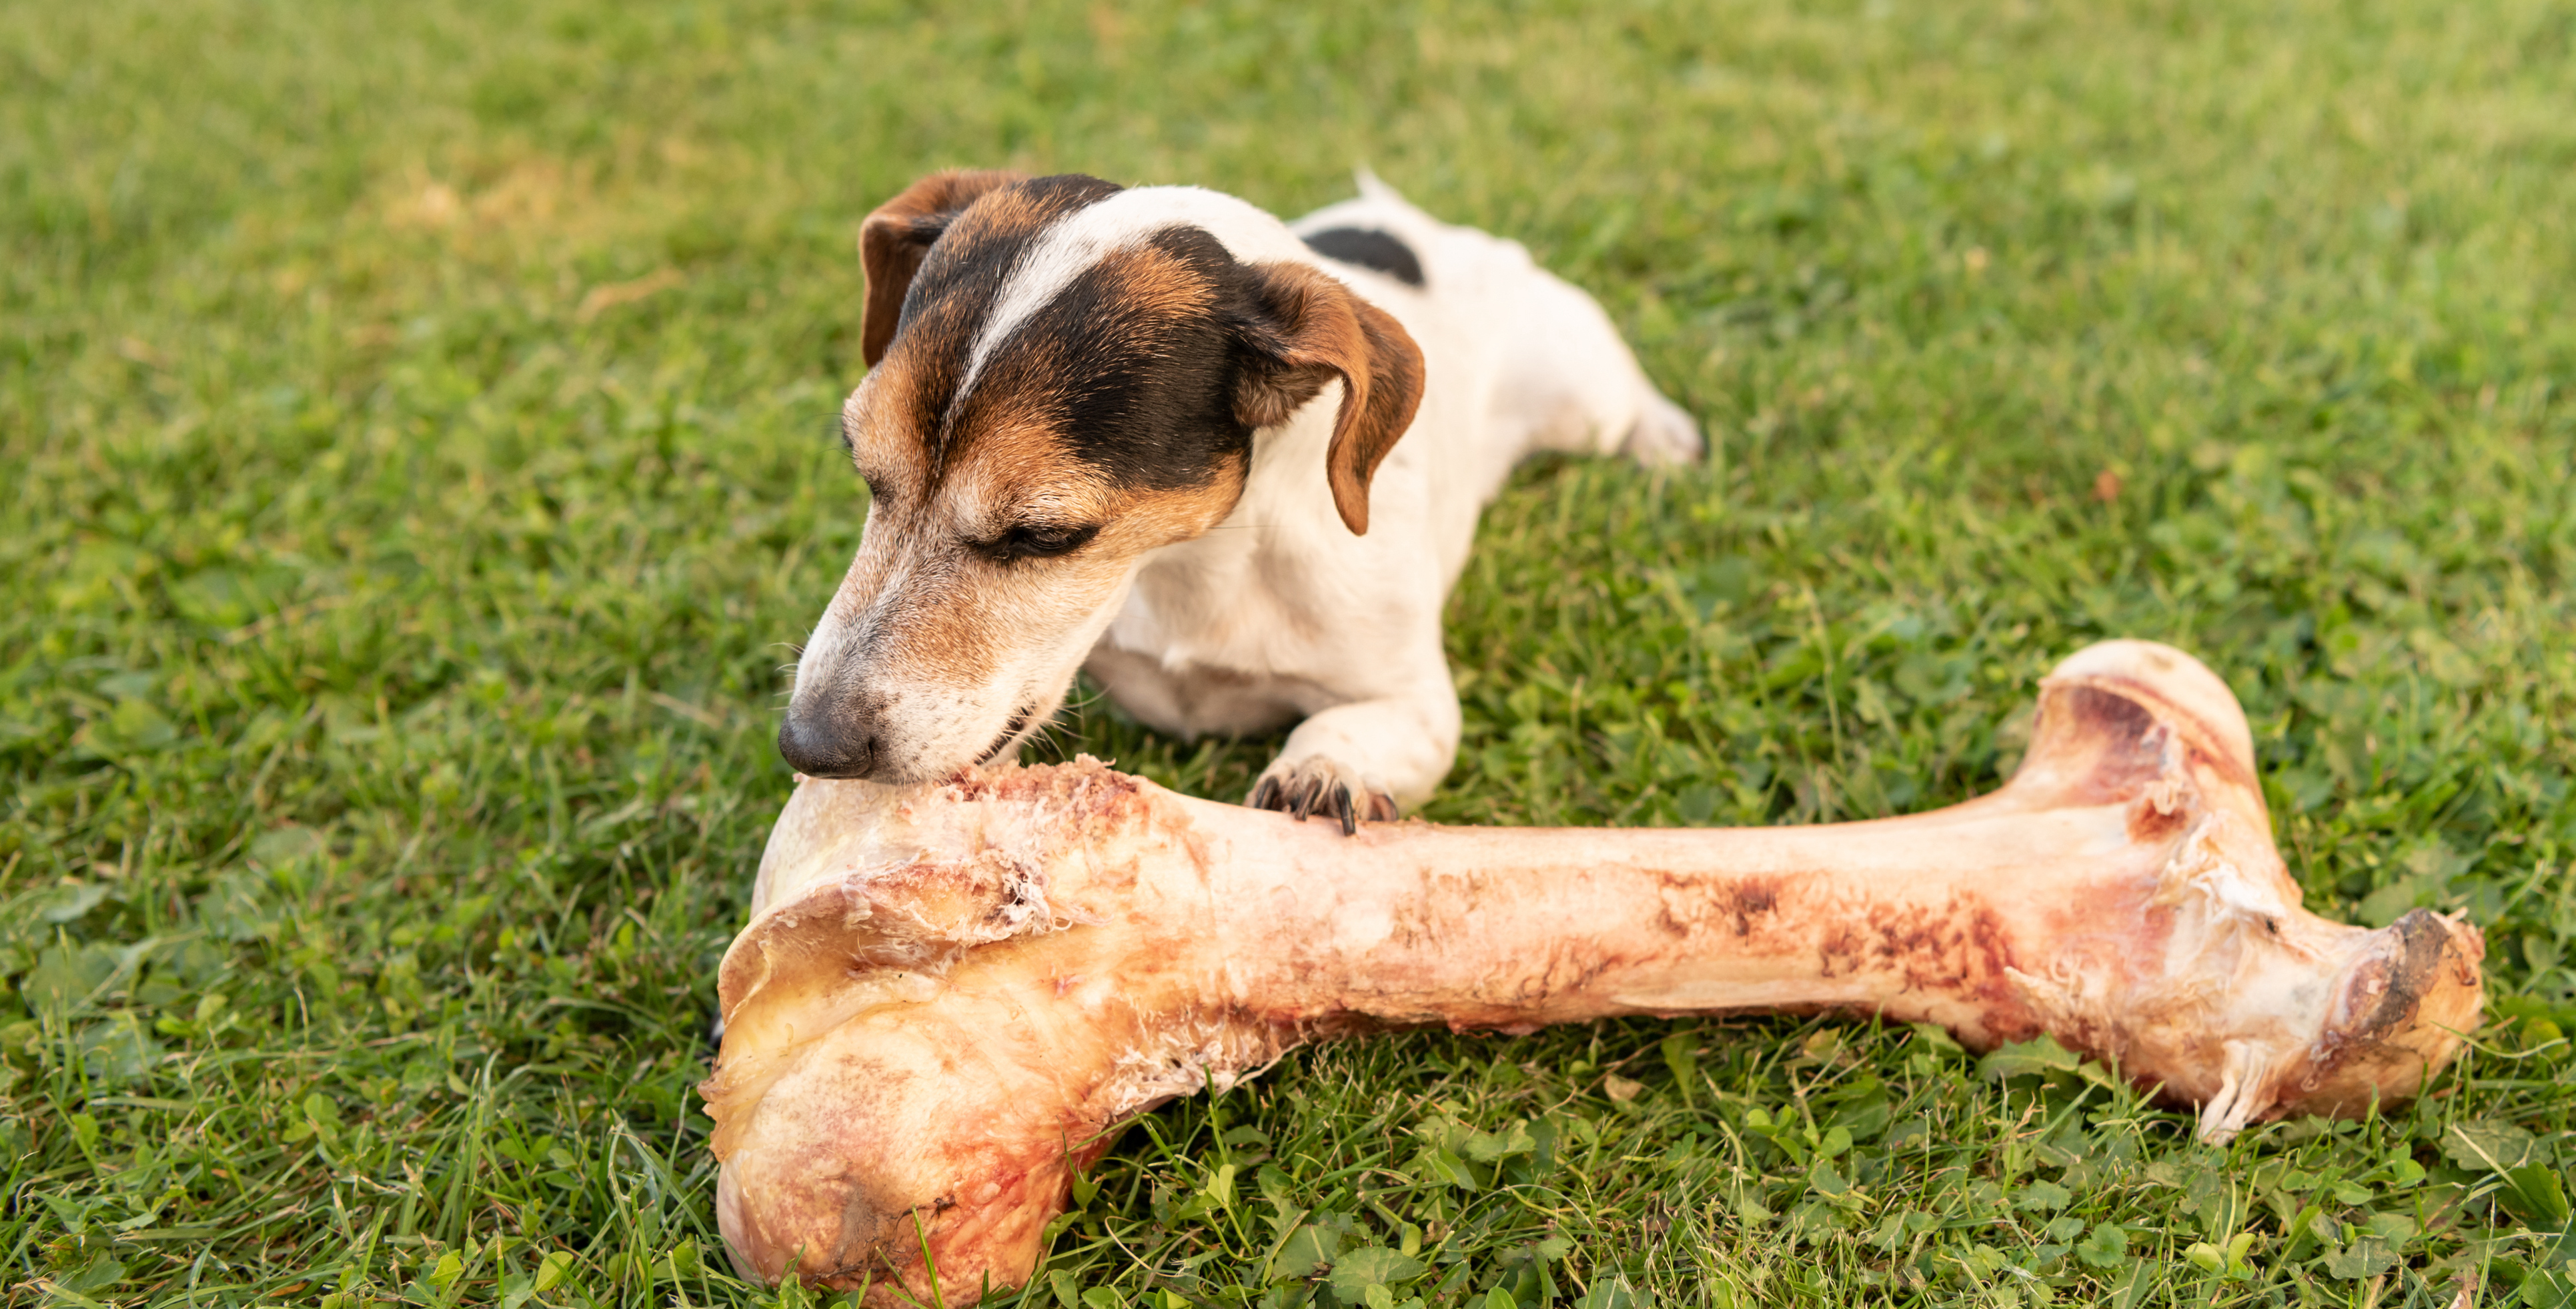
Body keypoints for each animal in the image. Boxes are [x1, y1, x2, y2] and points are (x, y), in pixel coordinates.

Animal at [772, 171, 1700, 829]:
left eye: (1043, 535)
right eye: (863, 470)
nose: (807, 744)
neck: (1191, 566)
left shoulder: (1417, 702)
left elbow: (1347, 729)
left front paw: (1324, 772)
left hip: (1583, 397)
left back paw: (1668, 441)